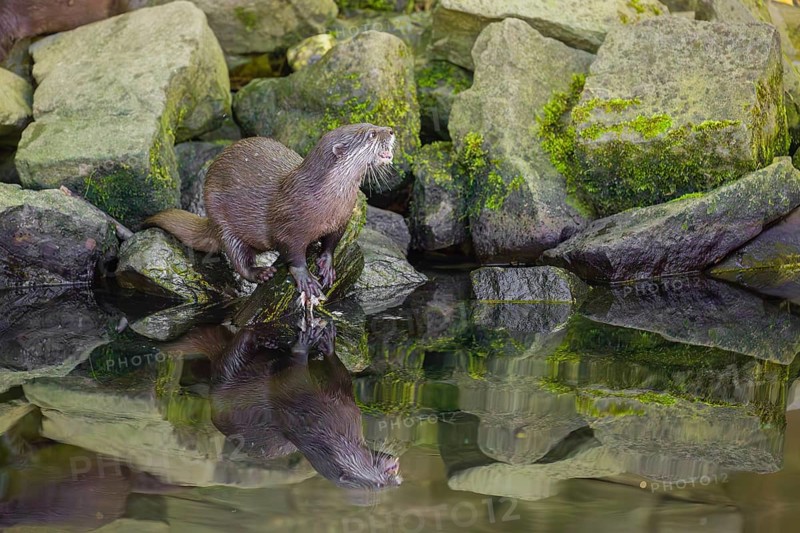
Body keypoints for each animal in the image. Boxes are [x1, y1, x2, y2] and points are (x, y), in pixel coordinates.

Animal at [147, 124, 395, 301]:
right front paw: (305, 278)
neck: (327, 201)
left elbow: (332, 242)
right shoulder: (288, 227)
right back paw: (261, 273)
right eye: (372, 134)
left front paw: (327, 263)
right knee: (238, 258)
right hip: (221, 219)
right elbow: (293, 253)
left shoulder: (342, 219)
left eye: (374, 124)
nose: (392, 131)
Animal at [169, 321, 402, 490]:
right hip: (228, 377)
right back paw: (253, 332)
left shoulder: (343, 407)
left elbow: (341, 378)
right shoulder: (335, 408)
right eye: (381, 484)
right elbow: (305, 372)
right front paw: (318, 344)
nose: (397, 481)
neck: (334, 433)